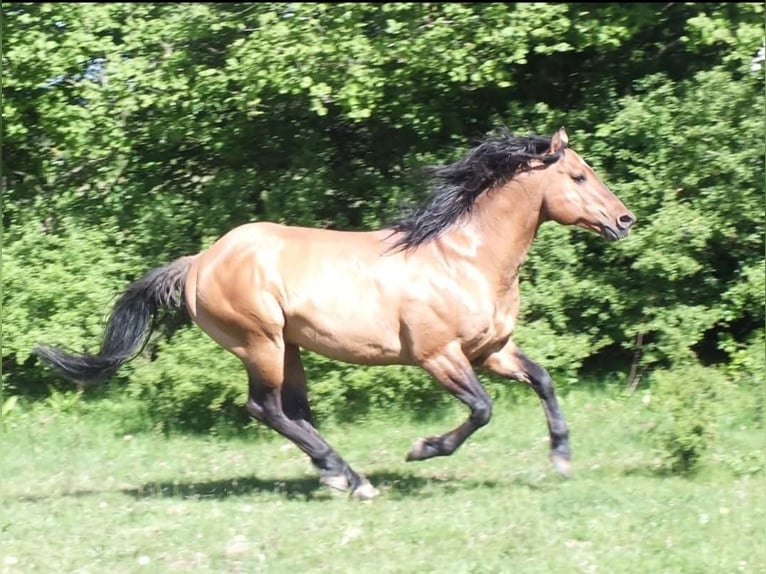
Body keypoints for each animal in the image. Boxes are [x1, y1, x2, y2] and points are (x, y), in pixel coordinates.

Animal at [35, 127, 636, 500]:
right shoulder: (438, 355)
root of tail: (200, 262)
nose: (625, 220)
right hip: (262, 342)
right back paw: (346, 477)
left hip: (291, 347)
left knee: (293, 411)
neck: (463, 258)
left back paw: (344, 475)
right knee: (265, 408)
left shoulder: (490, 350)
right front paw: (423, 449)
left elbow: (543, 379)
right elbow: (483, 409)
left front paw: (561, 457)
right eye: (579, 177)